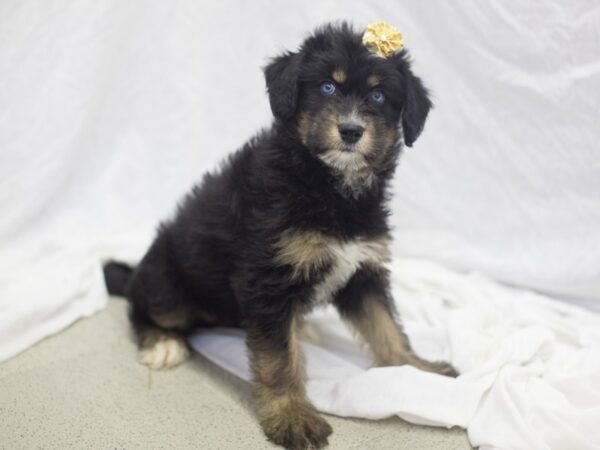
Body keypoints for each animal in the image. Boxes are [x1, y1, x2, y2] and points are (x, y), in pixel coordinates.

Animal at [105, 22, 458, 450]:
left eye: (378, 95)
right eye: (327, 87)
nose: (351, 130)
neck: (327, 185)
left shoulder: (362, 269)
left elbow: (386, 326)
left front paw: (418, 369)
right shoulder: (267, 280)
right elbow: (278, 360)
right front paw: (291, 416)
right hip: (170, 288)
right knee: (139, 304)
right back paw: (161, 343)